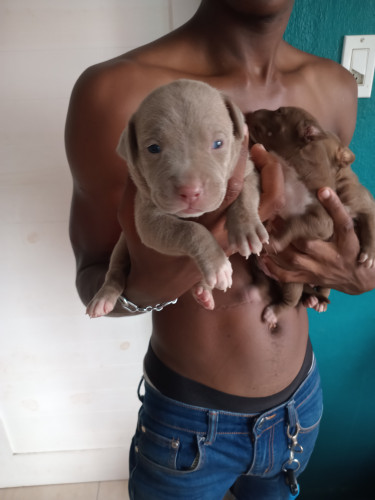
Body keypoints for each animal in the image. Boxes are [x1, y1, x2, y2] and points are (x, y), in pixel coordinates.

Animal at [87, 80, 270, 318]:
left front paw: (247, 230)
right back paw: (104, 298)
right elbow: (189, 230)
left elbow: (246, 195)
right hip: (121, 246)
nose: (190, 191)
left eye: (218, 143)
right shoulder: (148, 220)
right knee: (115, 272)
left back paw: (203, 291)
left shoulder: (247, 170)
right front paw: (217, 263)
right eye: (153, 148)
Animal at [247, 106, 375, 328]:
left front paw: (278, 240)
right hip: (277, 276)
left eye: (279, 111)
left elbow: (295, 222)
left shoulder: (323, 220)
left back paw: (276, 312)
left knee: (292, 300)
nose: (252, 111)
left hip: (293, 280)